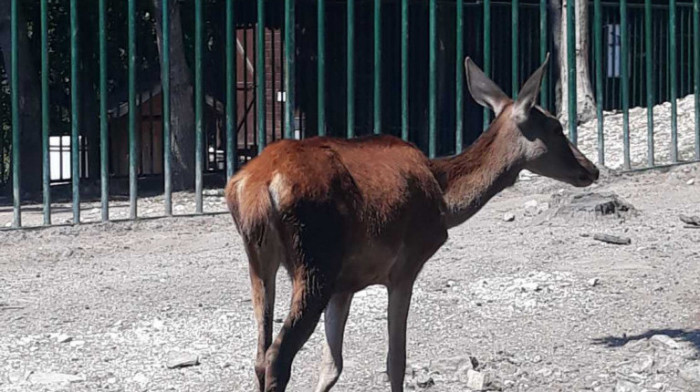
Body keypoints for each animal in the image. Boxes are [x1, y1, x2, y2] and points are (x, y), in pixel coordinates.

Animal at [226, 54, 600, 392]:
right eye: (556, 126)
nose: (591, 169)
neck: (446, 201)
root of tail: (254, 187)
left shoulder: (345, 285)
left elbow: (332, 365)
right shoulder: (405, 265)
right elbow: (396, 361)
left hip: (259, 260)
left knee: (260, 355)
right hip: (316, 258)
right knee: (277, 356)